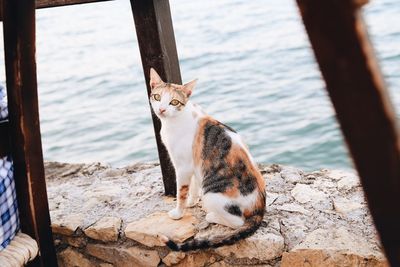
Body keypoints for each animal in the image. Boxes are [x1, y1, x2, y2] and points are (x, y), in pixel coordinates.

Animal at [148, 68, 264, 252]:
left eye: (174, 102)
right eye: (157, 97)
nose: (162, 109)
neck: (174, 122)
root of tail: (260, 209)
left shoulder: (182, 167)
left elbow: (181, 192)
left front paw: (178, 213)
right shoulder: (195, 165)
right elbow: (193, 186)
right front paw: (191, 202)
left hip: (211, 194)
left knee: (237, 222)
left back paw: (211, 216)